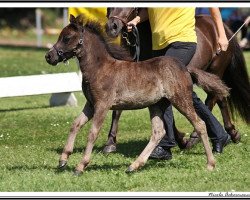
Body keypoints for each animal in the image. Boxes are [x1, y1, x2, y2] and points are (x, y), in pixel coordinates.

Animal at [45, 14, 230, 173]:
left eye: (66, 38)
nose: (49, 56)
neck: (99, 68)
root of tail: (184, 68)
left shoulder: (102, 105)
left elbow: (93, 133)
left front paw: (80, 166)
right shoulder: (91, 105)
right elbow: (75, 125)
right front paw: (63, 160)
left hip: (180, 99)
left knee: (199, 124)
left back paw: (210, 163)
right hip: (157, 104)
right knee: (158, 132)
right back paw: (134, 165)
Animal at [103, 7, 250, 152]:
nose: (112, 27)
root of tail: (223, 30)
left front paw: (181, 140)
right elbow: (117, 109)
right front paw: (110, 143)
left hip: (215, 71)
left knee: (210, 101)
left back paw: (197, 137)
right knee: (221, 98)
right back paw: (232, 134)